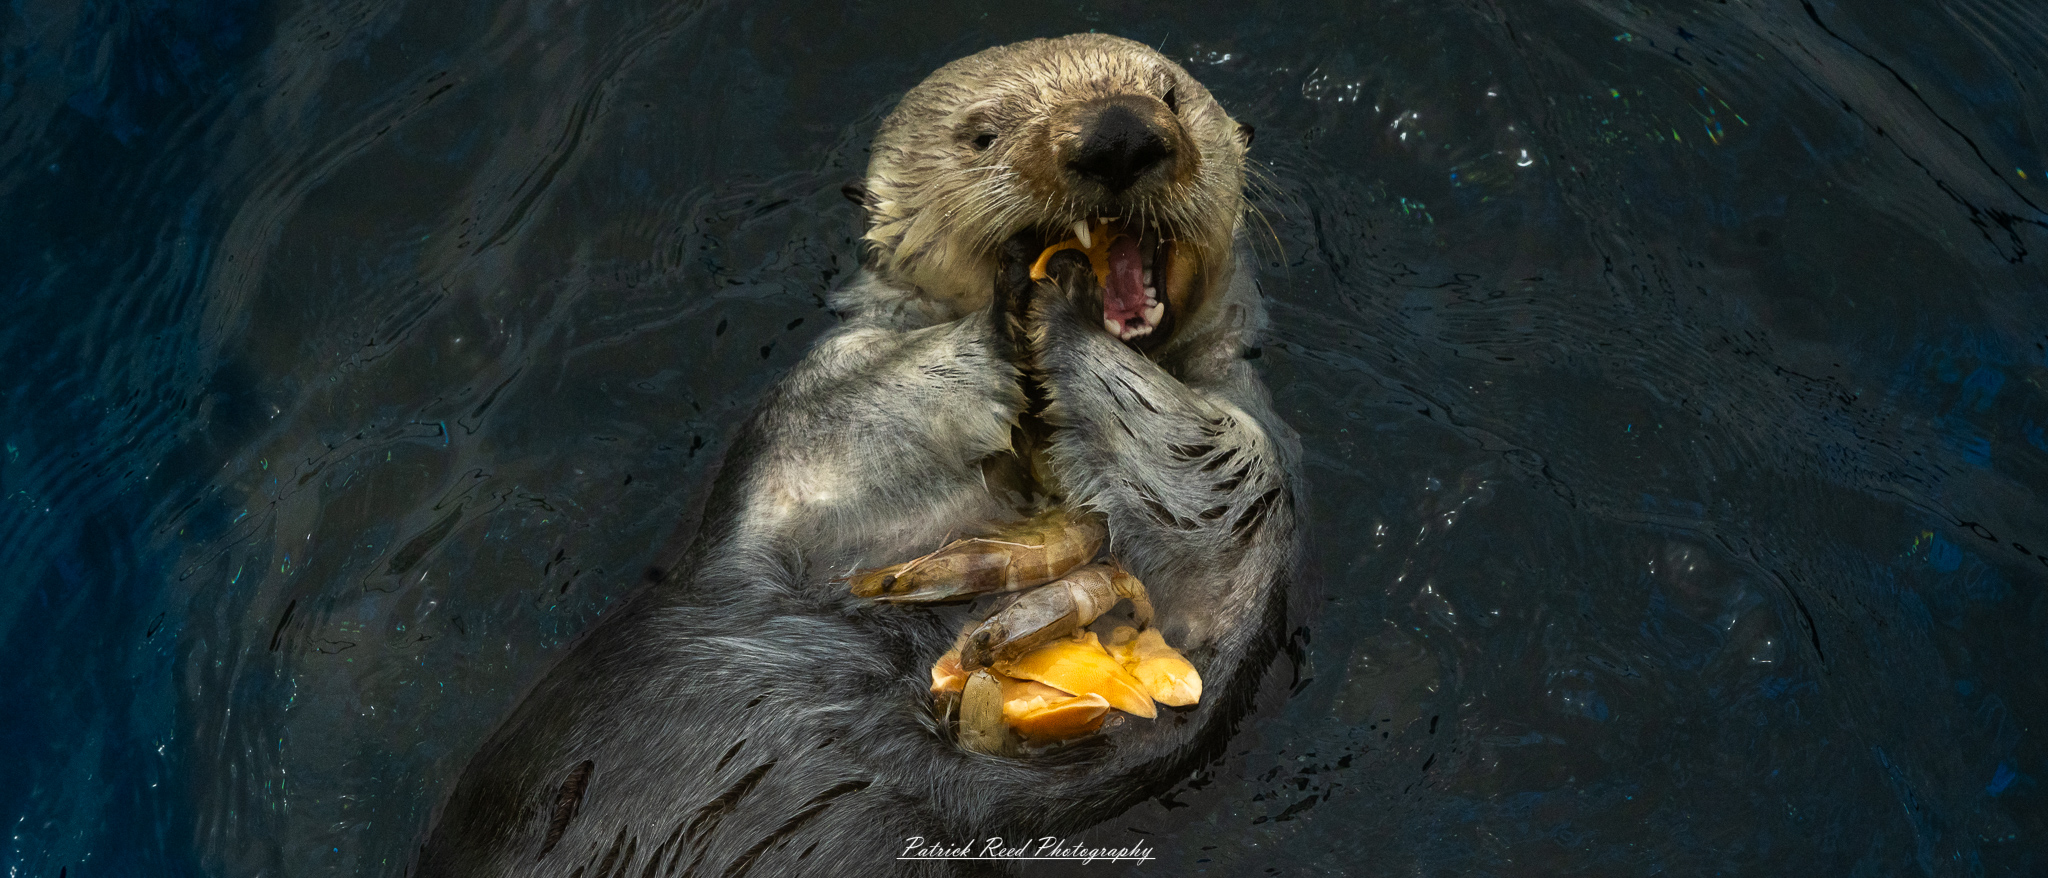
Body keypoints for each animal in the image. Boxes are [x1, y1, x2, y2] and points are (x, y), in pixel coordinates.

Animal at [415, 33, 1300, 877]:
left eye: (1169, 95)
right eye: (981, 134)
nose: (1118, 134)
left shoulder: (1238, 478)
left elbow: (1220, 489)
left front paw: (1065, 316)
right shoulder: (819, 421)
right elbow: (855, 425)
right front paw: (1017, 299)